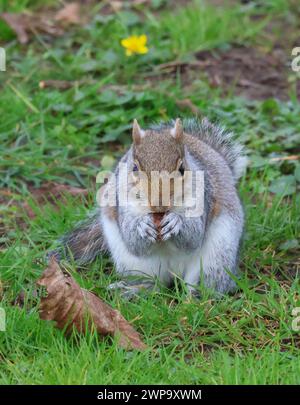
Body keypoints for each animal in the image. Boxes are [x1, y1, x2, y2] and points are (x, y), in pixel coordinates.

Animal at [55, 117, 247, 296]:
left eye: (182, 169)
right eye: (134, 168)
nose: (159, 204)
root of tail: (174, 272)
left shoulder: (203, 198)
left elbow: (193, 237)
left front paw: (176, 222)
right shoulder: (122, 204)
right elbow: (132, 241)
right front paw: (142, 226)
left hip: (214, 260)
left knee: (203, 285)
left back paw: (197, 297)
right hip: (135, 265)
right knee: (154, 286)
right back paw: (132, 290)